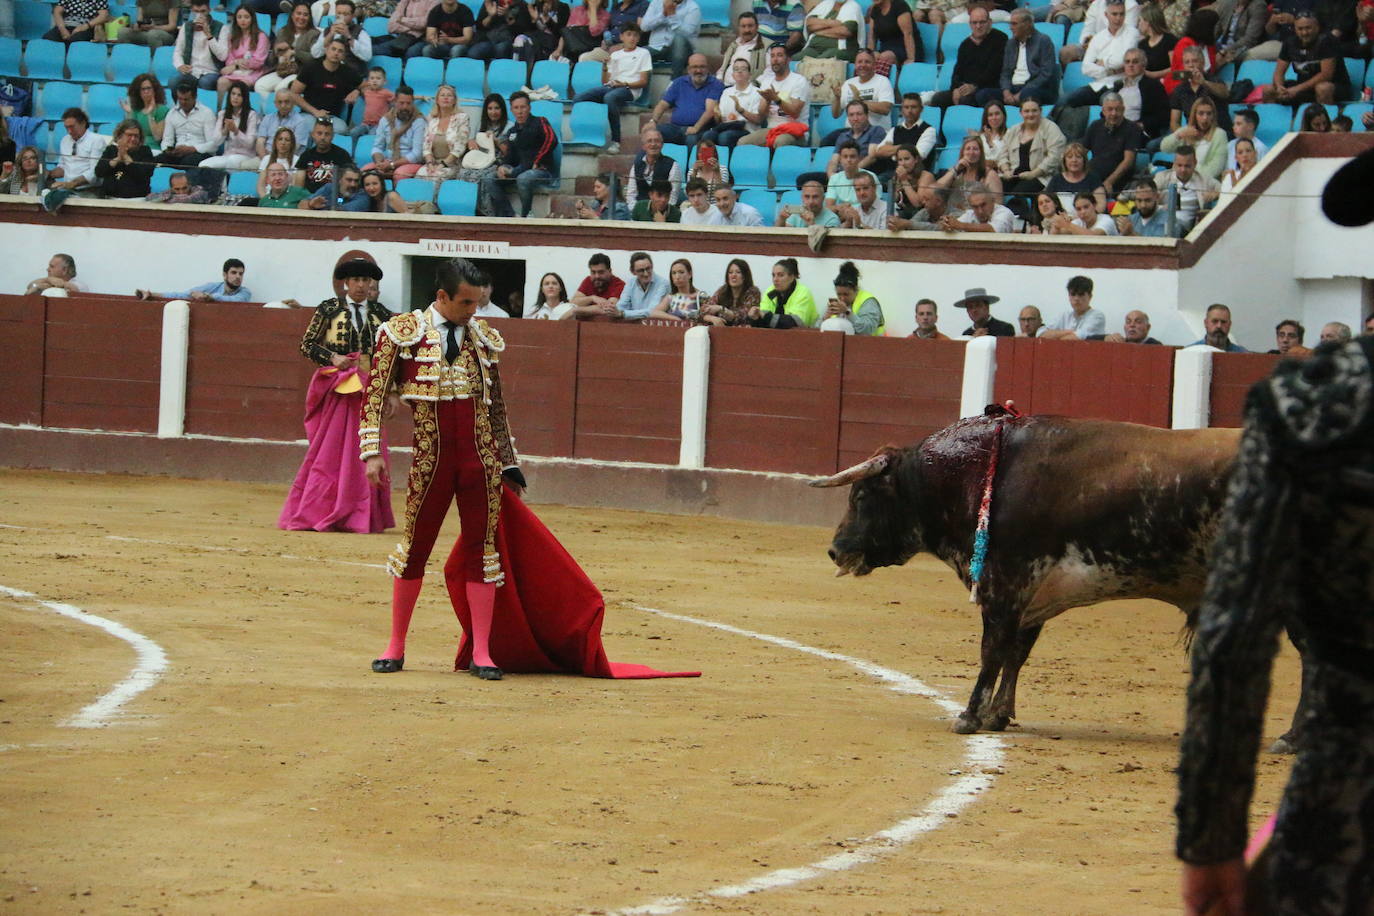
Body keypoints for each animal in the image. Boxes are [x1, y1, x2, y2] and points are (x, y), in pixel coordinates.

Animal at [813, 414, 1247, 736]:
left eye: (862, 496)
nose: (835, 549)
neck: (975, 474)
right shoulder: (1031, 596)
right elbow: (1016, 653)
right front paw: (998, 715)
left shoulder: (1004, 587)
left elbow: (992, 651)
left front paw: (969, 717)